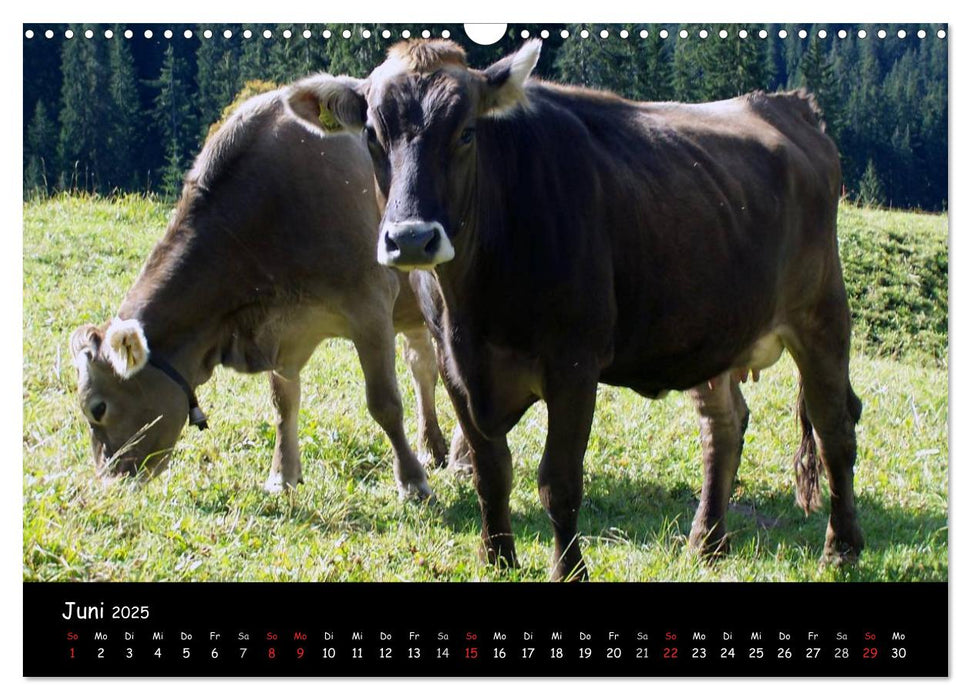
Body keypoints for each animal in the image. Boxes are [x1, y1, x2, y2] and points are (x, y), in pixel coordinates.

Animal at [70, 87, 450, 500]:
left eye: (98, 408)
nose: (110, 482)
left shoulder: (370, 308)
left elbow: (384, 403)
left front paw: (411, 482)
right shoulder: (281, 329)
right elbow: (283, 403)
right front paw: (282, 475)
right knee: (423, 365)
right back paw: (434, 447)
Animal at [286, 41, 864, 584]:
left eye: (467, 132)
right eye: (371, 136)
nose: (411, 238)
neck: (474, 304)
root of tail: (785, 104)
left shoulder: (574, 364)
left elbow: (557, 482)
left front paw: (569, 570)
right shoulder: (455, 368)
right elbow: (491, 473)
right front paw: (497, 559)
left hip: (821, 313)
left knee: (835, 427)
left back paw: (841, 549)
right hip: (712, 328)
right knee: (723, 426)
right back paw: (707, 543)